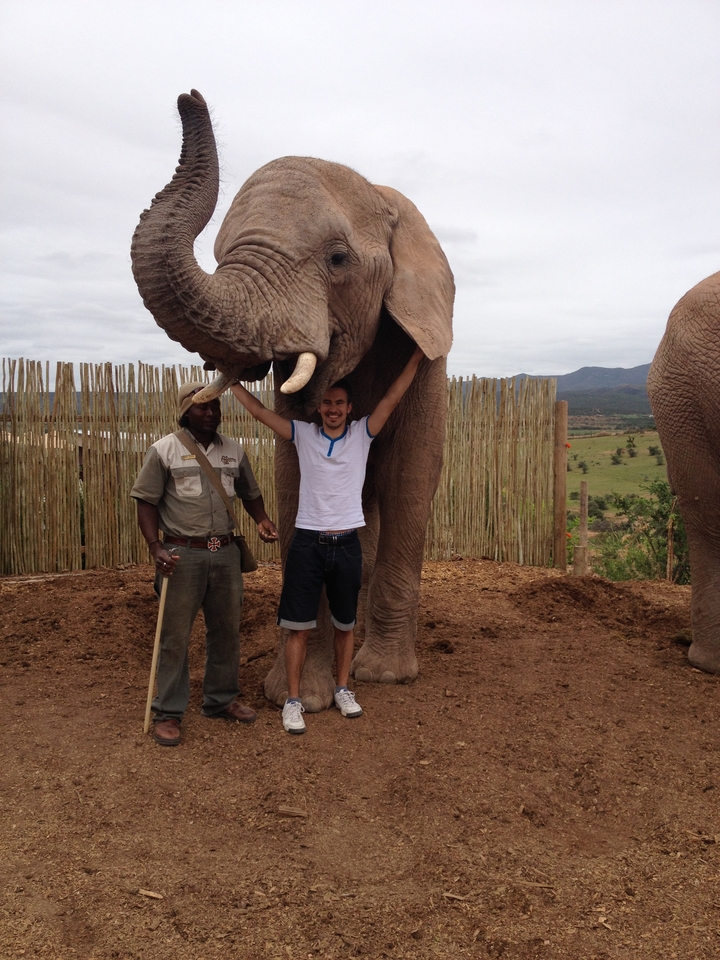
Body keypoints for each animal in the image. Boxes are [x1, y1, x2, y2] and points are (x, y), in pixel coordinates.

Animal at [131, 90, 455, 709]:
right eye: (217, 254)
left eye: (337, 259)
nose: (188, 96)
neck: (384, 198)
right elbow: (290, 473)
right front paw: (297, 691)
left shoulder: (427, 341)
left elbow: (411, 472)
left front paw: (386, 676)